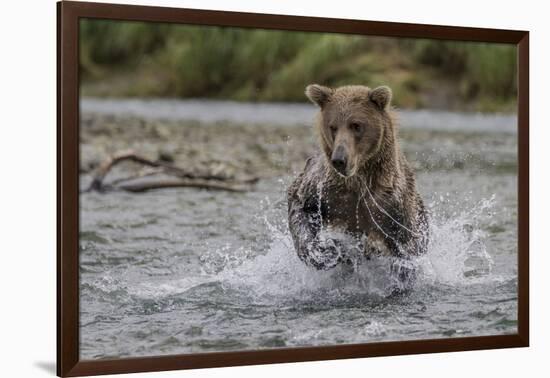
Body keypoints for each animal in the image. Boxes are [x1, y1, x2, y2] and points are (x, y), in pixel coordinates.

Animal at [288, 84, 432, 270]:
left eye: (356, 125)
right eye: (333, 127)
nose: (339, 159)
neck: (358, 182)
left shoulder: (391, 204)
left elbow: (407, 246)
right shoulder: (324, 191)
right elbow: (300, 206)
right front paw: (326, 251)